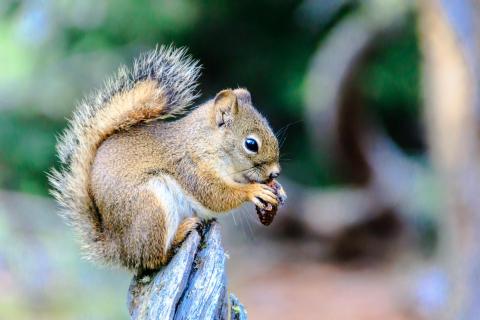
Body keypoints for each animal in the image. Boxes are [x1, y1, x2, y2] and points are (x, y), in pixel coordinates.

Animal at [47, 45, 284, 270]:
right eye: (251, 144)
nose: (275, 173)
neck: (206, 143)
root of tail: (119, 248)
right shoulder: (189, 165)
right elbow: (214, 194)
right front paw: (253, 191)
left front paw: (279, 189)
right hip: (150, 206)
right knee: (153, 257)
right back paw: (181, 232)